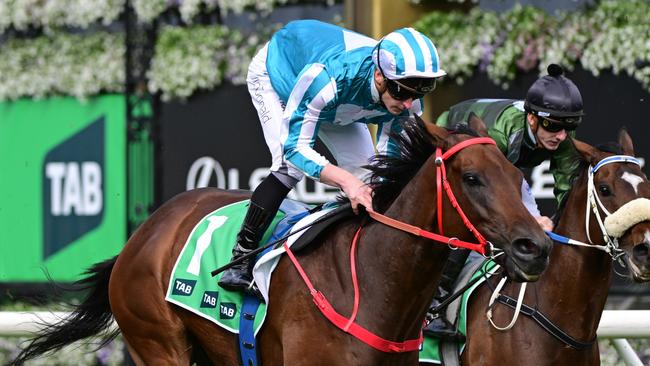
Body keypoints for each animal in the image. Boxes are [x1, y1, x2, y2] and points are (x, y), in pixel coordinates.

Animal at [15, 117, 548, 366]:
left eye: (518, 175)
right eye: (473, 179)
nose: (535, 248)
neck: (372, 287)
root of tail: (145, 232)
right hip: (157, 342)